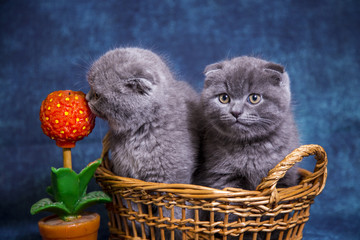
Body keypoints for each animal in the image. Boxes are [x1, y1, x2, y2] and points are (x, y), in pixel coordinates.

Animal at [86, 47, 200, 238]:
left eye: (97, 94)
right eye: (91, 89)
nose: (86, 98)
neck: (140, 132)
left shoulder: (172, 180)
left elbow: (172, 216)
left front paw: (170, 232)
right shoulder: (125, 177)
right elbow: (131, 209)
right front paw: (141, 230)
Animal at [194, 56, 300, 240]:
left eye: (254, 98)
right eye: (224, 98)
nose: (236, 112)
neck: (250, 147)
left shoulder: (284, 178)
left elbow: (277, 216)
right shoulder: (222, 177)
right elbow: (233, 212)